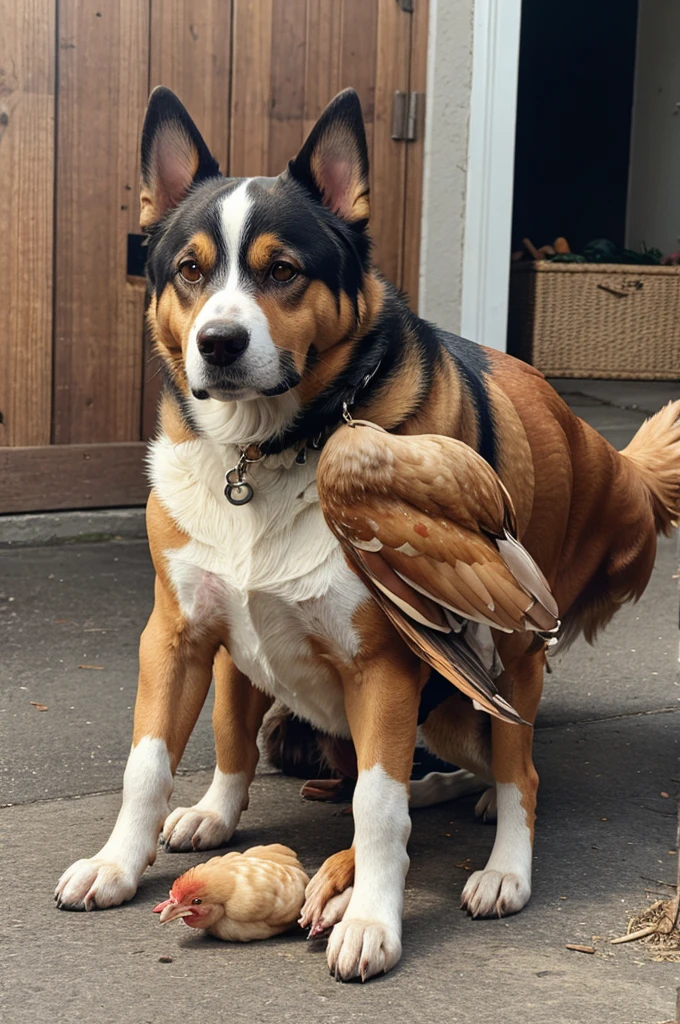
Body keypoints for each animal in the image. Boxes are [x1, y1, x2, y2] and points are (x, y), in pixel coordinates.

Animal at [57, 83, 680, 978]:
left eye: (283, 270)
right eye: (190, 269)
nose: (219, 342)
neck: (262, 455)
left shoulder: (383, 664)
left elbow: (379, 808)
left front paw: (374, 919)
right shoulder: (176, 635)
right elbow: (152, 764)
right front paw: (118, 861)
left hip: (505, 658)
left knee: (517, 773)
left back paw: (499, 860)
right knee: (263, 742)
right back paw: (230, 810)